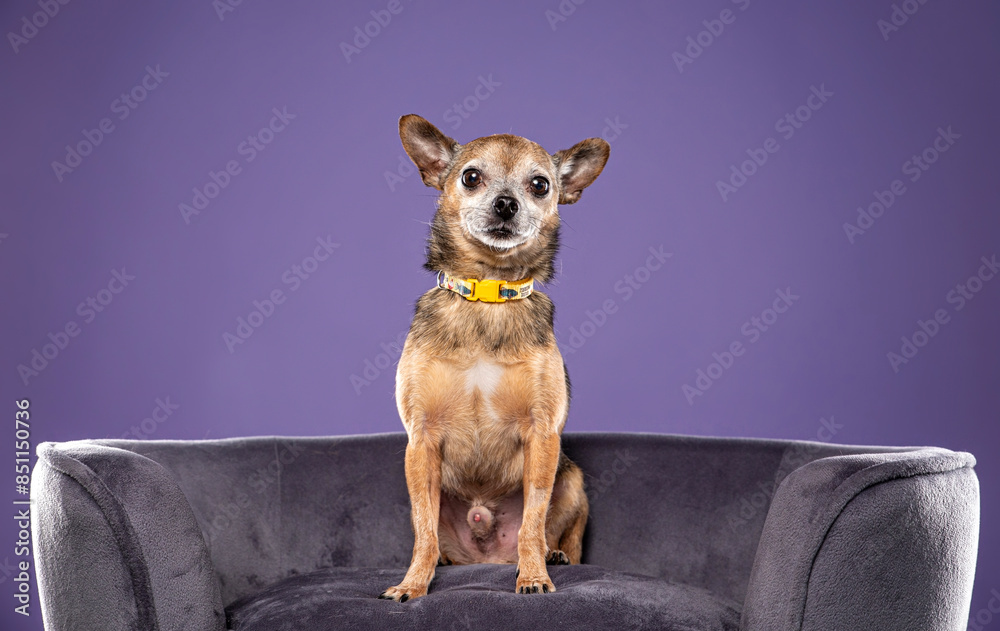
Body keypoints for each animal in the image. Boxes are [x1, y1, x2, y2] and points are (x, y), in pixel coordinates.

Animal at [380, 115, 608, 604]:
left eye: (540, 185)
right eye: (470, 177)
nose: (506, 204)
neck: (487, 297)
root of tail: (485, 560)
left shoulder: (542, 436)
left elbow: (532, 522)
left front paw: (534, 575)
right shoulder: (421, 440)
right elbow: (423, 529)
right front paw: (413, 583)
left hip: (573, 479)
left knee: (566, 537)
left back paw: (554, 556)